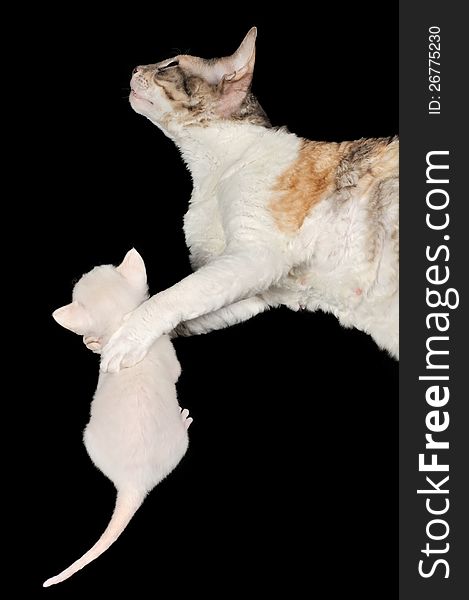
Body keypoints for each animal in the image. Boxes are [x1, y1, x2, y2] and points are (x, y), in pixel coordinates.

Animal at [43, 247, 191, 584]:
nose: (82, 271)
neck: (122, 329)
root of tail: (132, 483)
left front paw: (94, 344)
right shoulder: (166, 355)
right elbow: (176, 371)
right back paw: (185, 419)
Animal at [100, 29, 396, 376]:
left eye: (169, 65)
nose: (134, 68)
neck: (212, 172)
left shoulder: (256, 255)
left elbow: (173, 296)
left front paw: (125, 338)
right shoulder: (251, 290)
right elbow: (188, 309)